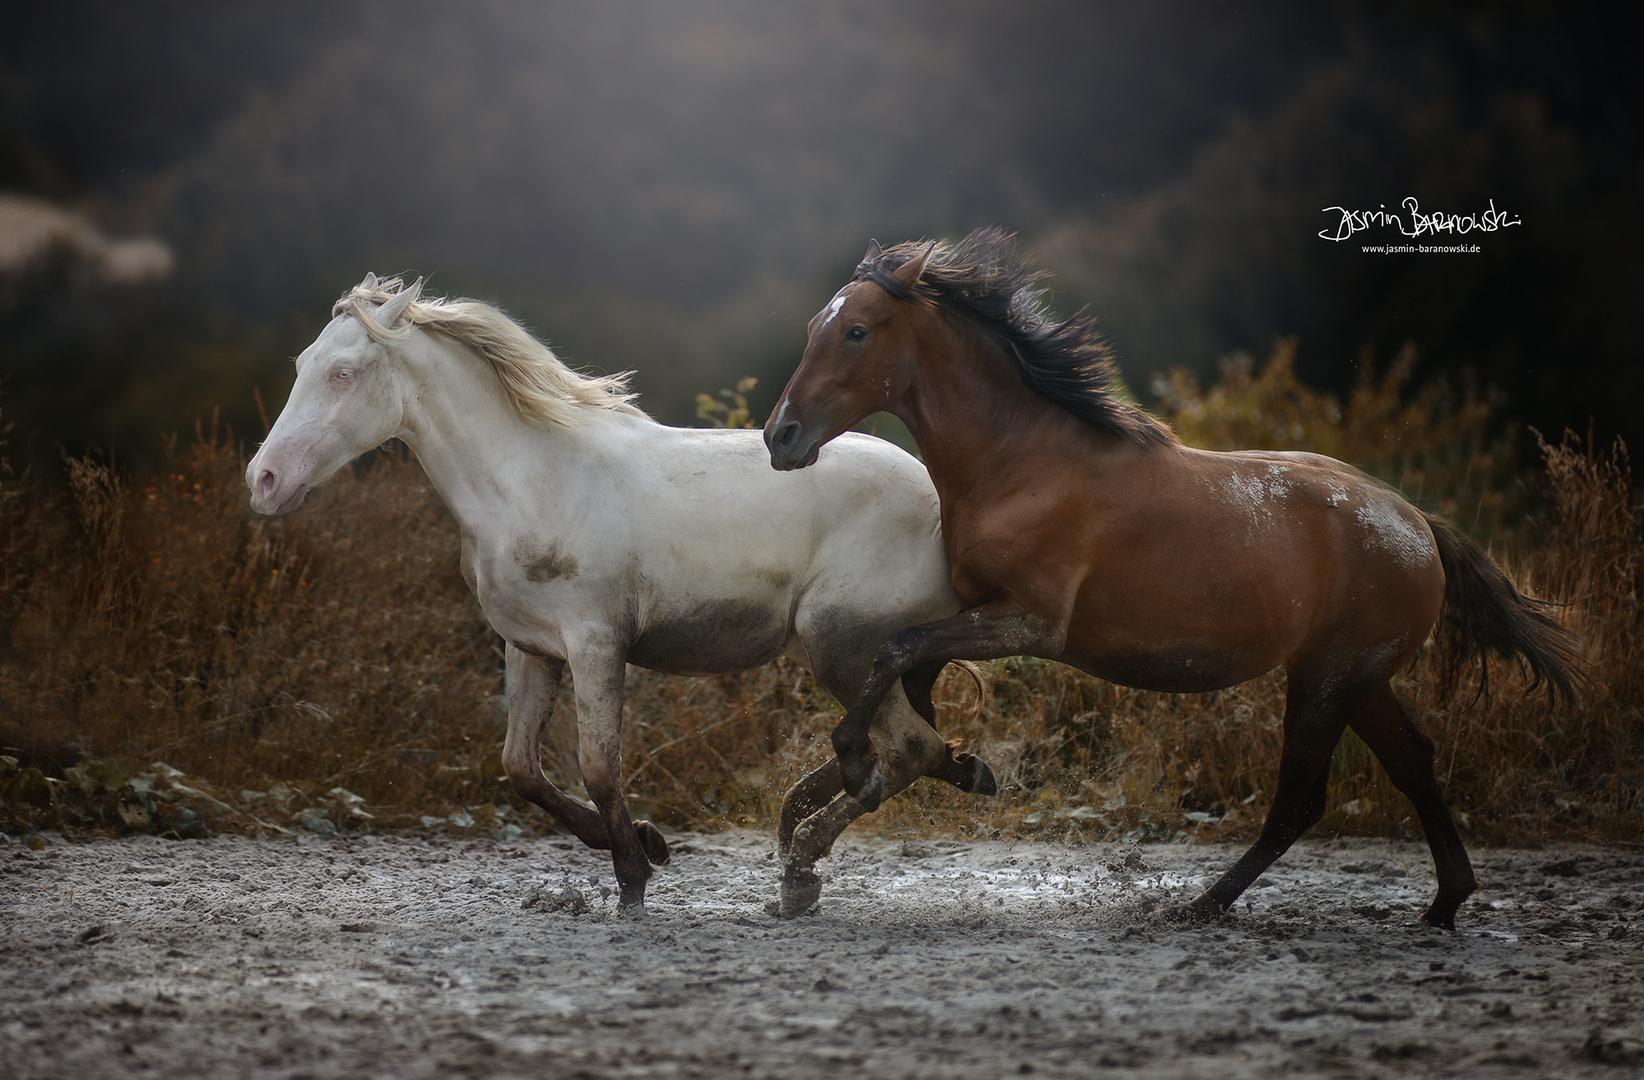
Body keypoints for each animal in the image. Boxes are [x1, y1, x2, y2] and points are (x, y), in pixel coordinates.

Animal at [243, 276, 986, 907]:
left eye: (344, 373)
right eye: (302, 364)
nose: (265, 480)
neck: (532, 482)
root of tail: (941, 503)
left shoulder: (596, 643)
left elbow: (599, 764)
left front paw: (634, 873)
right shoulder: (531, 647)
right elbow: (521, 768)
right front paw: (649, 844)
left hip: (841, 647)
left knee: (907, 748)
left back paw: (801, 870)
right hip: (853, 653)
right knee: (897, 745)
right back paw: (946, 780)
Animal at [762, 226, 1584, 927]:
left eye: (857, 331)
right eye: (811, 328)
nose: (780, 437)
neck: (1019, 462)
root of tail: (1418, 525)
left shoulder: (1028, 621)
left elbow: (897, 657)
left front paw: (843, 792)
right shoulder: (974, 613)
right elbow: (911, 681)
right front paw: (924, 775)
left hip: (1328, 681)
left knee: (1301, 801)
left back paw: (1202, 905)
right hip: (1357, 678)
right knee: (1412, 763)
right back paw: (1443, 904)